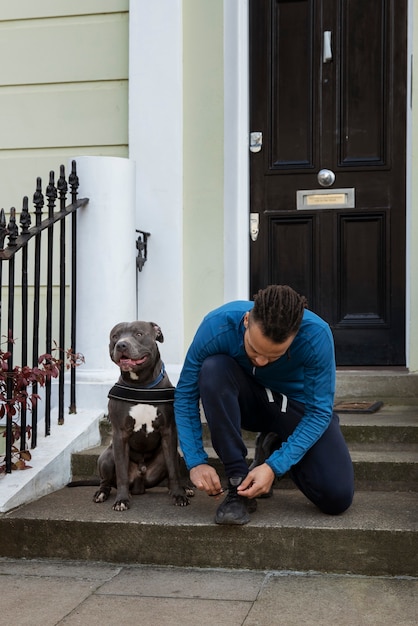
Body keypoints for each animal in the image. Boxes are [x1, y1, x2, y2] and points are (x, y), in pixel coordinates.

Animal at [94, 320, 193, 510]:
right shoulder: (120, 434)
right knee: (106, 480)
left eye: (139, 334)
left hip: (174, 455)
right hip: (107, 456)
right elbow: (122, 474)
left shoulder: (168, 431)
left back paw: (185, 488)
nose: (121, 345)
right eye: (115, 336)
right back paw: (102, 492)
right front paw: (122, 499)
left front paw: (179, 495)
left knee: (174, 471)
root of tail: (140, 483)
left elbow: (173, 470)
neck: (141, 384)